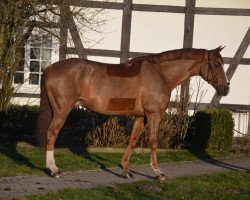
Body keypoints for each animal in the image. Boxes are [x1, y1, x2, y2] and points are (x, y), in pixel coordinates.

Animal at [36, 46, 229, 180]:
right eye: (216, 63)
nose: (225, 89)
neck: (160, 74)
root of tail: (50, 68)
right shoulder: (153, 115)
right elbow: (153, 141)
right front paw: (158, 173)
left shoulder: (140, 117)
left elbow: (133, 141)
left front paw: (126, 171)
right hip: (62, 111)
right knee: (51, 133)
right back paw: (54, 170)